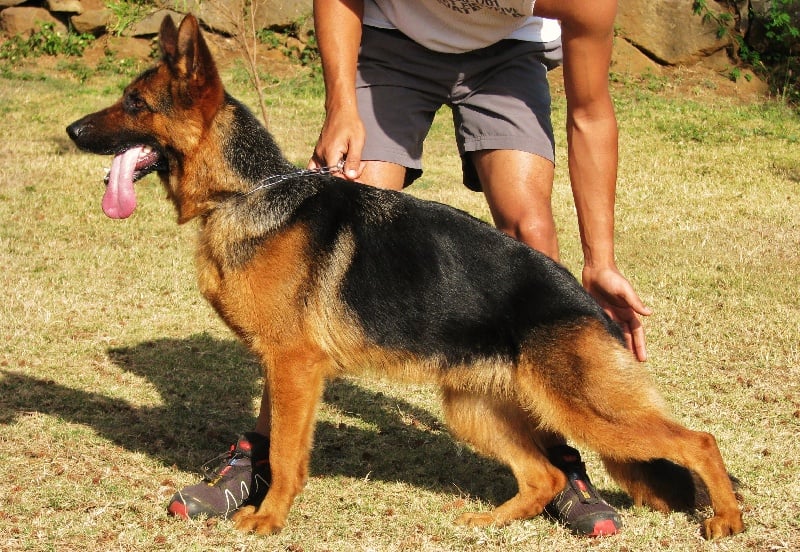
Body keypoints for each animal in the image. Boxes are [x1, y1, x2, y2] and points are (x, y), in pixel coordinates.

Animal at [67, 15, 744, 540]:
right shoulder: (279, 365)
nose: (71, 131)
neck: (246, 192)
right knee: (544, 472)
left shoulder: (294, 367)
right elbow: (272, 440)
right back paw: (489, 522)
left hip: (585, 409)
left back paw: (727, 520)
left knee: (698, 441)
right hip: (473, 410)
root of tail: (589, 301)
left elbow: (285, 453)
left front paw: (269, 519)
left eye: (135, 104)